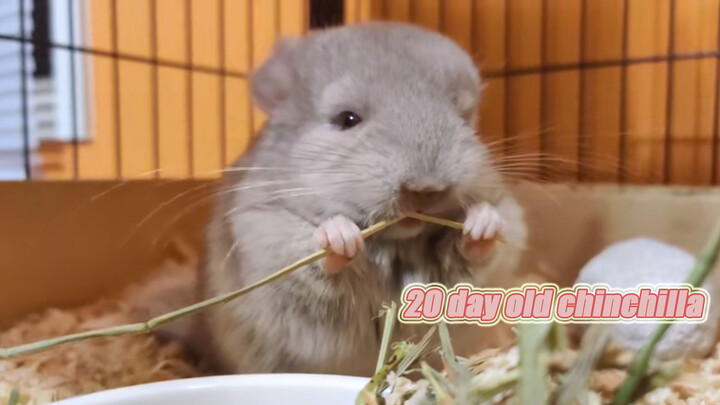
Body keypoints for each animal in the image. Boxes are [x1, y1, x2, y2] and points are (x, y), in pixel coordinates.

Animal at [198, 22, 527, 376]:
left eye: (464, 116)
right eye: (347, 119)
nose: (425, 188)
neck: (397, 242)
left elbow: (479, 246)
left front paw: (482, 223)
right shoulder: (265, 231)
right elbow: (316, 253)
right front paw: (340, 237)